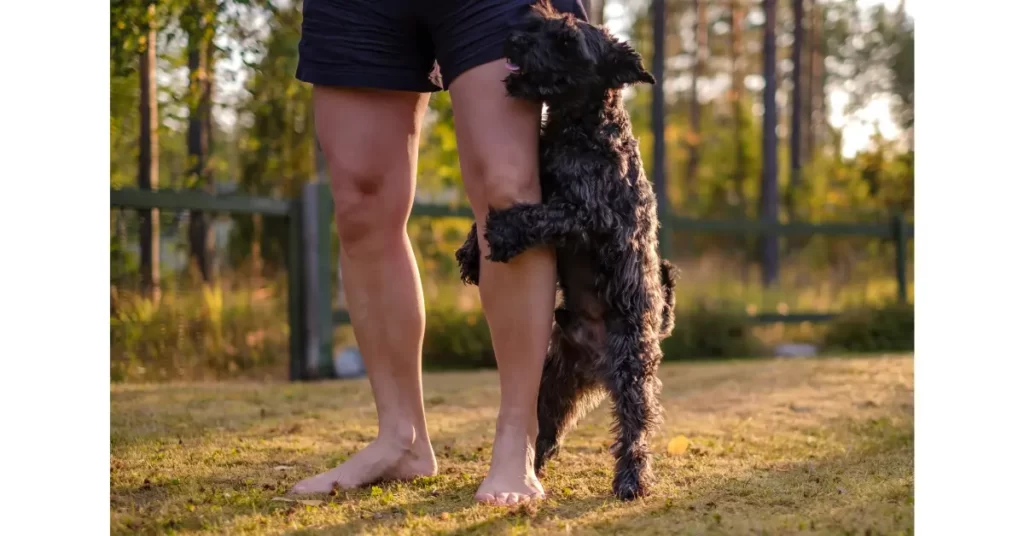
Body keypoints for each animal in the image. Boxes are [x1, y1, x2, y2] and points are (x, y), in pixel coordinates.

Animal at [456, 2, 679, 502]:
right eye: (538, 21)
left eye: (566, 43)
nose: (514, 40)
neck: (579, 126)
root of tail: (596, 364)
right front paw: (470, 251)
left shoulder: (590, 214)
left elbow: (542, 213)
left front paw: (501, 233)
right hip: (554, 382)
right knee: (547, 431)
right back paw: (530, 470)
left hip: (632, 374)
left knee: (635, 430)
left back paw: (631, 480)